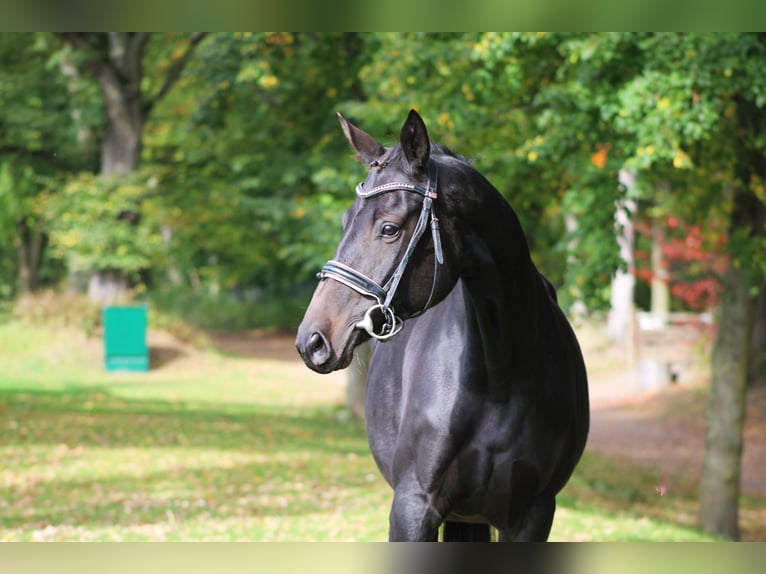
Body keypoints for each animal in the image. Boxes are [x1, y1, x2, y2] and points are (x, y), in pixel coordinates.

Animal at [296, 110, 592, 544]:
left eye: (389, 228)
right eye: (345, 221)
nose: (313, 340)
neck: (500, 375)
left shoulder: (533, 515)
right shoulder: (413, 507)